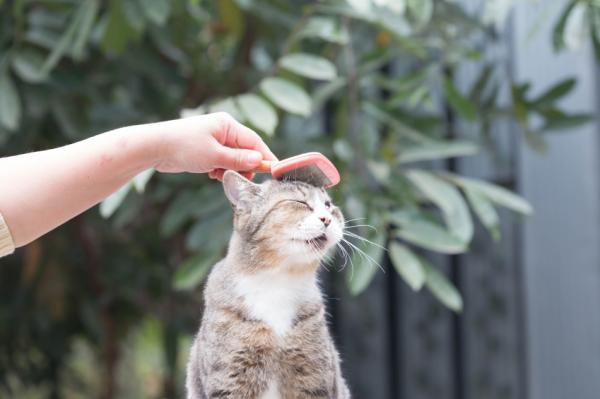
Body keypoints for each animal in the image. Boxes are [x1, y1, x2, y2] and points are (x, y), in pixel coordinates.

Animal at [185, 171, 350, 399]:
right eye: (299, 202)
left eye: (328, 205)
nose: (327, 218)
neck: (279, 282)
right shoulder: (229, 378)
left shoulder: (314, 377)